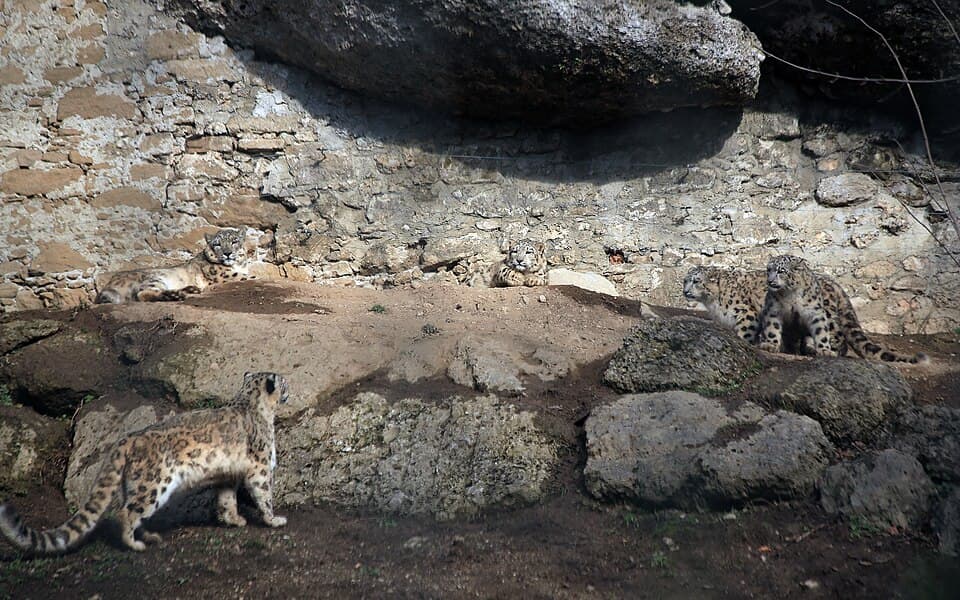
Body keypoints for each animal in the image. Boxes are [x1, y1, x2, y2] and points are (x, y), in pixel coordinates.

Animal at [0, 372, 289, 555]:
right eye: (284, 382)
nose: (290, 388)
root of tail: (127, 439)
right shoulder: (261, 467)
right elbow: (264, 494)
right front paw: (274, 520)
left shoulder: (227, 474)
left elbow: (227, 498)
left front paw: (234, 520)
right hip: (154, 484)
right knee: (126, 512)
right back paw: (135, 545)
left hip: (137, 484)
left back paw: (149, 536)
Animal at [95, 228, 255, 304]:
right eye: (217, 244)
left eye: (234, 241)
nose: (227, 253)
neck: (239, 265)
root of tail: (110, 283)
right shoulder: (227, 275)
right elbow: (251, 276)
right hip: (154, 278)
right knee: (142, 294)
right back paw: (175, 295)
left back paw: (189, 290)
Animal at [758, 254, 928, 363]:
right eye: (768, 269)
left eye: (781, 271)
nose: (770, 281)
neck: (789, 295)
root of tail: (837, 286)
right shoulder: (773, 310)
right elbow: (772, 329)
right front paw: (770, 345)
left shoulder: (815, 312)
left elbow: (820, 331)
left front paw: (824, 350)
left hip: (830, 317)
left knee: (840, 340)